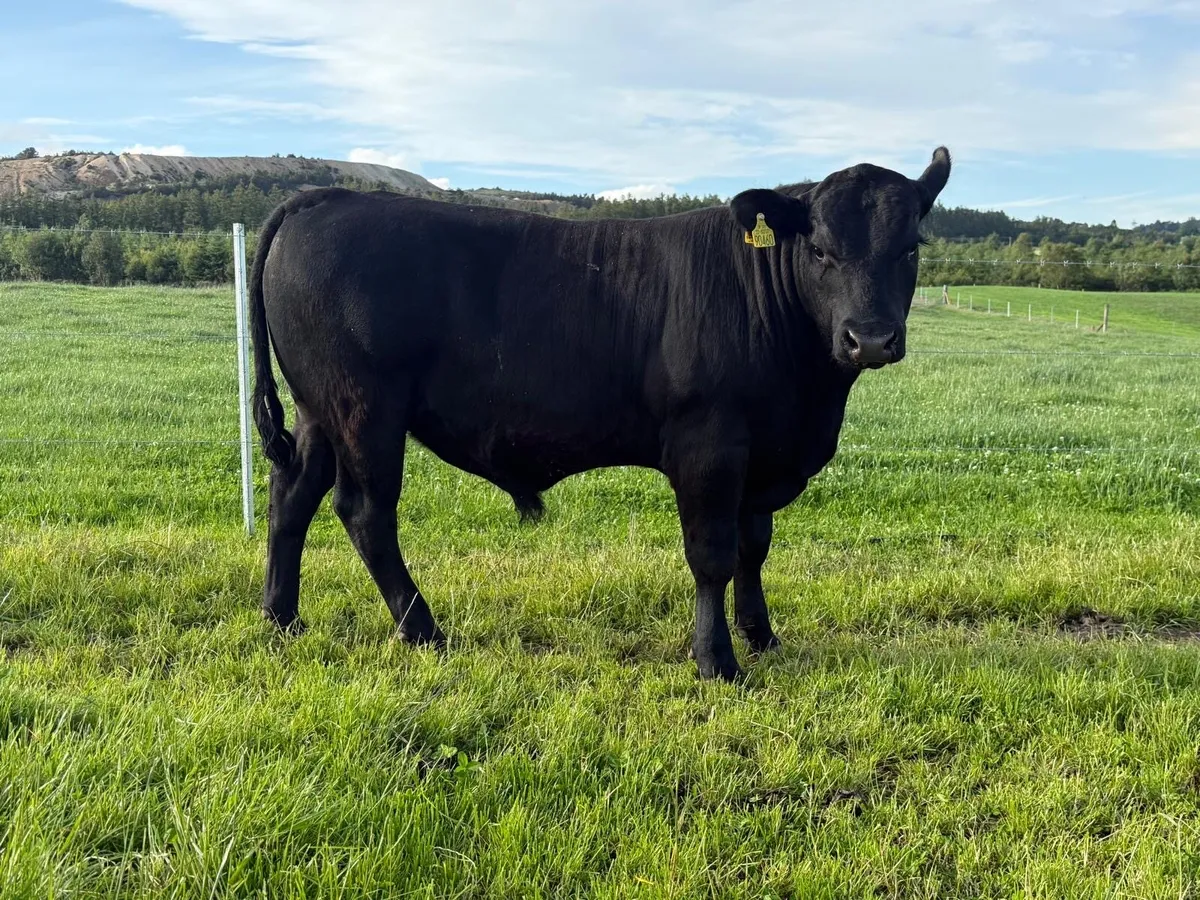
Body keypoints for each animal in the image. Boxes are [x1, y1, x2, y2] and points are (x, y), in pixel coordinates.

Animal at [249, 147, 952, 681]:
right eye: (821, 250)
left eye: (911, 247)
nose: (870, 338)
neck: (809, 397)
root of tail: (327, 198)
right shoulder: (710, 444)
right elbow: (713, 554)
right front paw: (716, 661)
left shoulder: (764, 451)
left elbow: (754, 548)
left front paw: (762, 636)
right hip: (364, 408)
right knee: (365, 512)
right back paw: (422, 629)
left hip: (318, 410)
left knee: (292, 497)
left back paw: (283, 618)